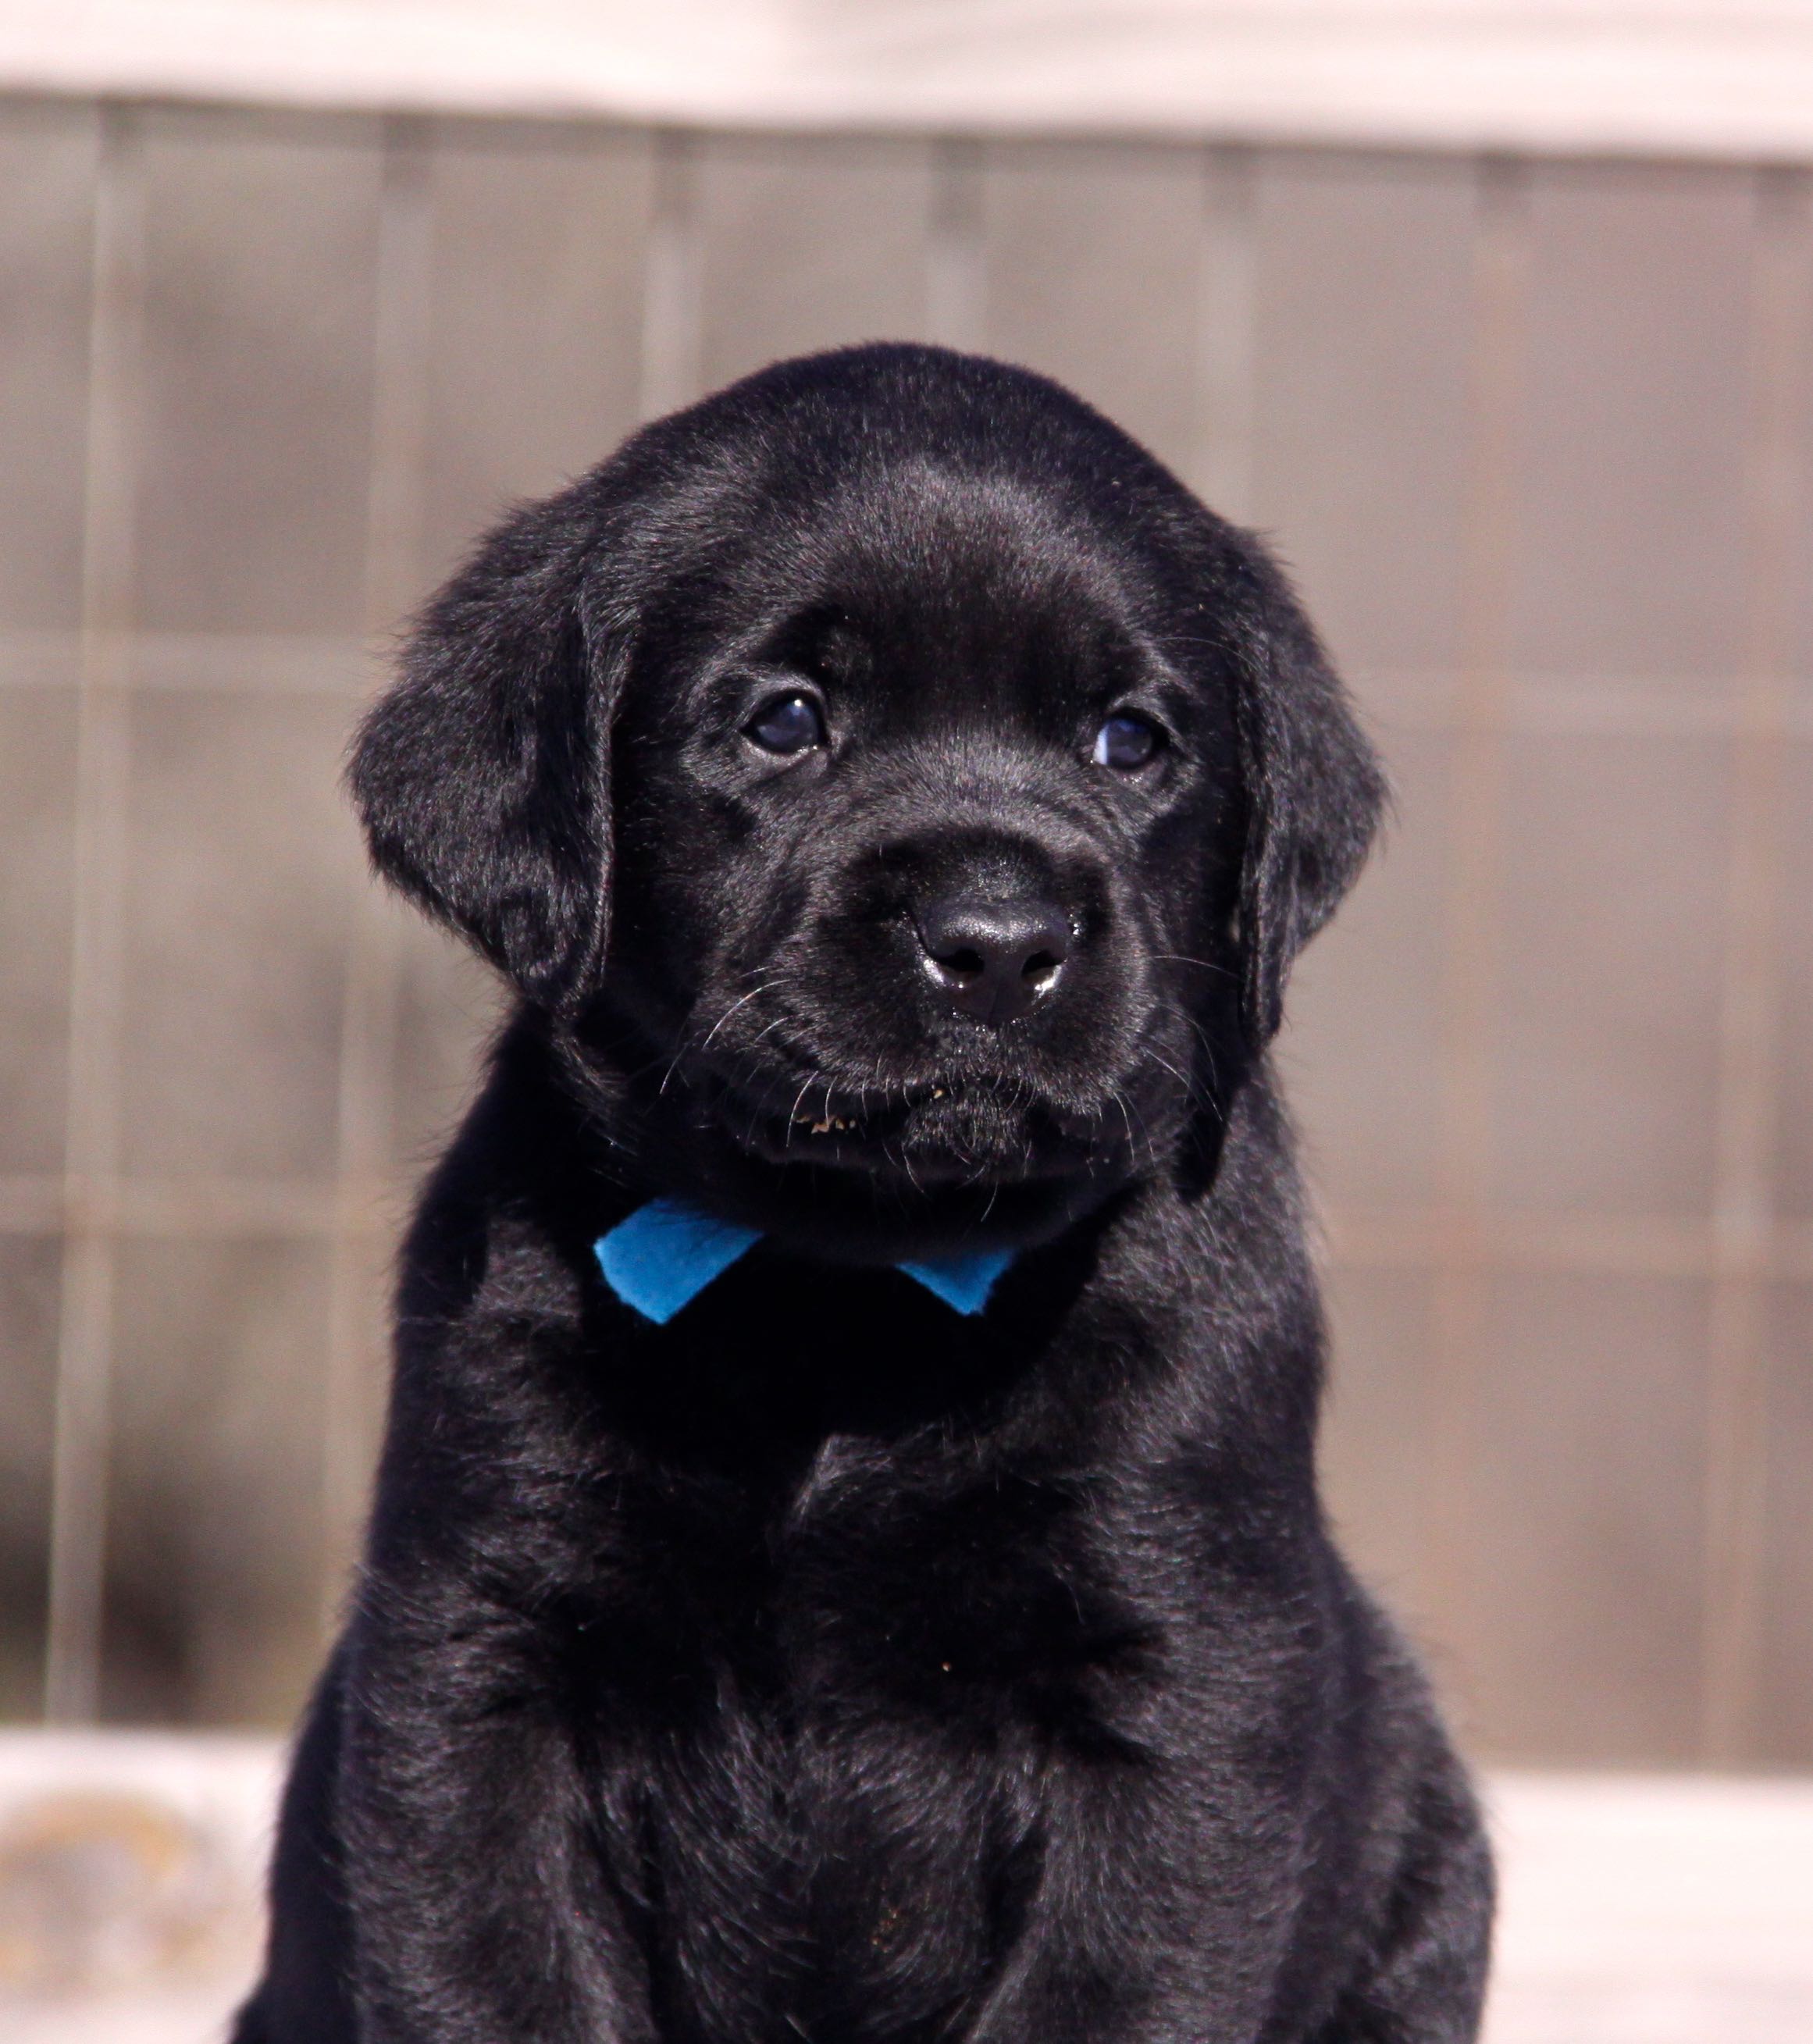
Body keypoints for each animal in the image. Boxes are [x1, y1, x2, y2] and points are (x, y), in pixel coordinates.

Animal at [237, 347, 1487, 2044]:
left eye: (1130, 741)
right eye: (786, 722)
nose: (999, 939)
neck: (847, 1291)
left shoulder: (1186, 1687)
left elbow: (1111, 1985)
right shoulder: (477, 1666)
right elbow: (493, 1973)